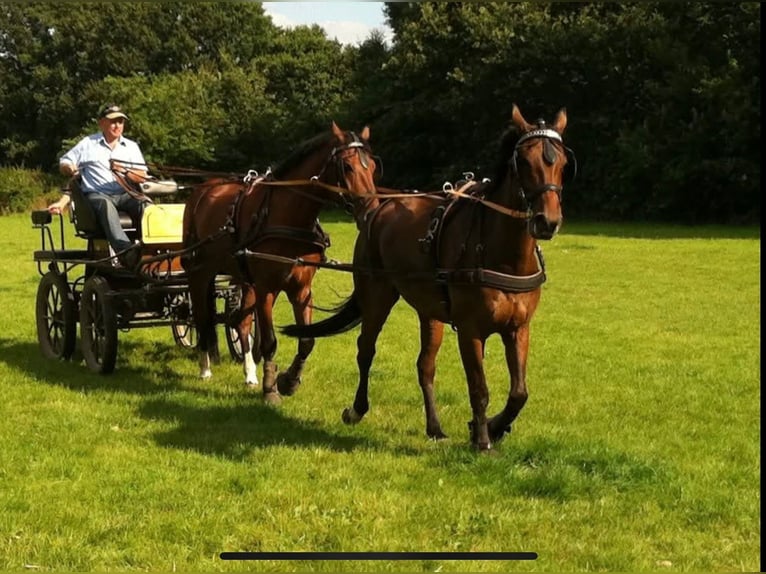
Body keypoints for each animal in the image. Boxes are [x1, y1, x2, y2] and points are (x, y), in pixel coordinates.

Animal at [182, 122, 377, 404]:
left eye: (372, 166)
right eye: (347, 166)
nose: (371, 209)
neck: (288, 215)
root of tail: (203, 189)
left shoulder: (301, 290)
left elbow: (306, 341)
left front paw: (289, 380)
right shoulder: (267, 289)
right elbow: (270, 342)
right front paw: (270, 388)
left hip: (243, 277)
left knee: (240, 322)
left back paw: (249, 373)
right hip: (200, 272)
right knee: (201, 317)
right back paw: (205, 366)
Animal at [283, 105, 574, 450]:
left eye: (562, 163)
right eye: (525, 161)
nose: (548, 221)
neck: (503, 255)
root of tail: (376, 210)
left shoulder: (518, 328)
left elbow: (519, 393)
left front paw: (493, 426)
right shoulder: (470, 331)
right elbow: (479, 388)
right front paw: (482, 439)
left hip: (430, 311)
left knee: (425, 365)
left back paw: (434, 426)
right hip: (377, 296)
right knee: (365, 349)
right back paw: (356, 409)